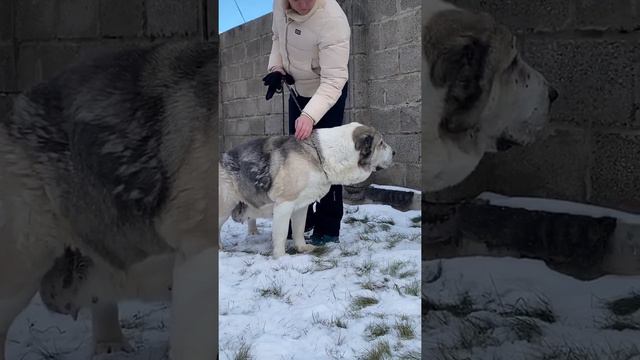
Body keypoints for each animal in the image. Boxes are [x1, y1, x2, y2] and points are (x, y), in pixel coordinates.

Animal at [220, 122, 396, 258]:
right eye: (381, 143)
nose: (394, 152)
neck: (324, 155)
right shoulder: (284, 204)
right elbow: (281, 233)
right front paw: (281, 257)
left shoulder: (301, 206)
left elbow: (298, 229)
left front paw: (302, 248)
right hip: (225, 207)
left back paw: (252, 233)